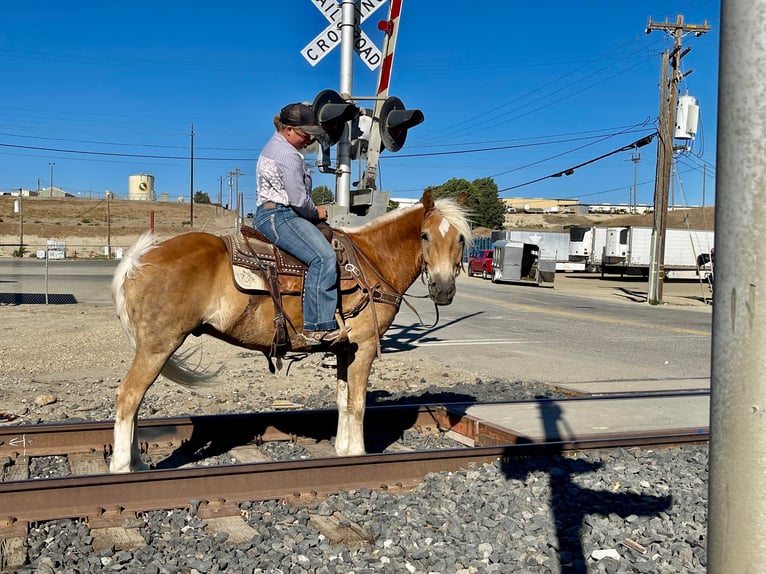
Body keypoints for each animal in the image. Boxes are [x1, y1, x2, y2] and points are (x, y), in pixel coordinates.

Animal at [110, 191, 472, 474]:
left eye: (460, 239)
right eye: (425, 236)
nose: (443, 289)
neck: (372, 261)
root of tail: (140, 259)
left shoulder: (345, 349)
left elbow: (343, 401)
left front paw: (342, 450)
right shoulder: (366, 345)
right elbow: (357, 404)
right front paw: (357, 454)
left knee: (135, 400)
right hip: (158, 346)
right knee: (129, 396)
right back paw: (124, 467)